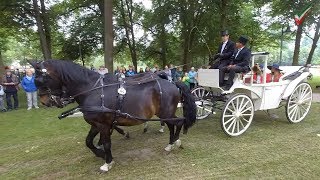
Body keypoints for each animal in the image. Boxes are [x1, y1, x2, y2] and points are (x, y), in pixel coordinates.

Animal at [30, 60, 196, 172]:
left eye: (40, 79)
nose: (44, 101)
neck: (92, 90)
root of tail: (173, 83)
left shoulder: (103, 125)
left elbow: (106, 143)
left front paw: (107, 162)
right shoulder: (96, 124)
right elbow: (88, 141)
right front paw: (100, 154)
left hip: (166, 113)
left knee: (178, 123)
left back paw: (174, 142)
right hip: (164, 113)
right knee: (174, 124)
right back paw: (172, 143)